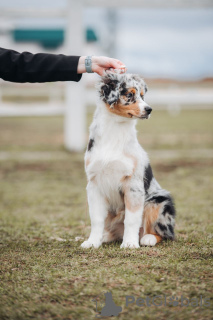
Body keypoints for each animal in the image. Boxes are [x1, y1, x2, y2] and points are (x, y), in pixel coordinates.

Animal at [80, 73, 176, 250]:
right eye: (130, 94)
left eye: (143, 96)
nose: (149, 109)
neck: (115, 129)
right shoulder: (94, 183)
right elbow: (96, 219)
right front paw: (92, 241)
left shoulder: (133, 184)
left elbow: (131, 218)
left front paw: (130, 243)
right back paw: (105, 237)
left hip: (159, 200)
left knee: (165, 233)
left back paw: (147, 238)